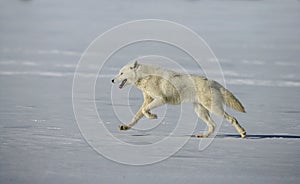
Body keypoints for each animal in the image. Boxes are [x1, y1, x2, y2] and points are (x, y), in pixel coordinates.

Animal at [112, 61, 246, 139]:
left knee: (232, 118)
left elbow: (145, 110)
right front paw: (126, 127)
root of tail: (213, 82)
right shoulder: (148, 100)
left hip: (213, 109)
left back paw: (243, 133)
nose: (112, 80)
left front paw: (152, 116)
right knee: (213, 125)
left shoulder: (161, 99)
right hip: (200, 111)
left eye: (121, 73)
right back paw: (202, 136)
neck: (145, 77)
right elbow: (136, 117)